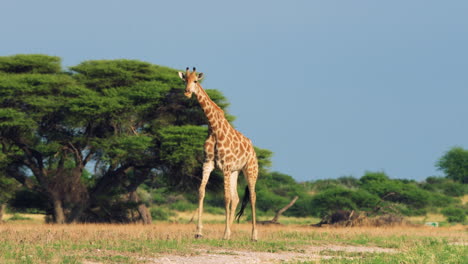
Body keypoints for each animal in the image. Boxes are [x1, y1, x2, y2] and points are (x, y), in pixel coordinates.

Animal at [178, 67, 260, 240]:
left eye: (196, 81)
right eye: (184, 80)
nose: (187, 92)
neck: (214, 129)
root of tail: (252, 149)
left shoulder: (225, 166)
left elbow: (225, 197)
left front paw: (223, 233)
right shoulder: (208, 163)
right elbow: (201, 192)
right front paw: (199, 232)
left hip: (250, 169)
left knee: (252, 196)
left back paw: (254, 235)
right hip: (236, 171)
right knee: (236, 198)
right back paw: (230, 232)